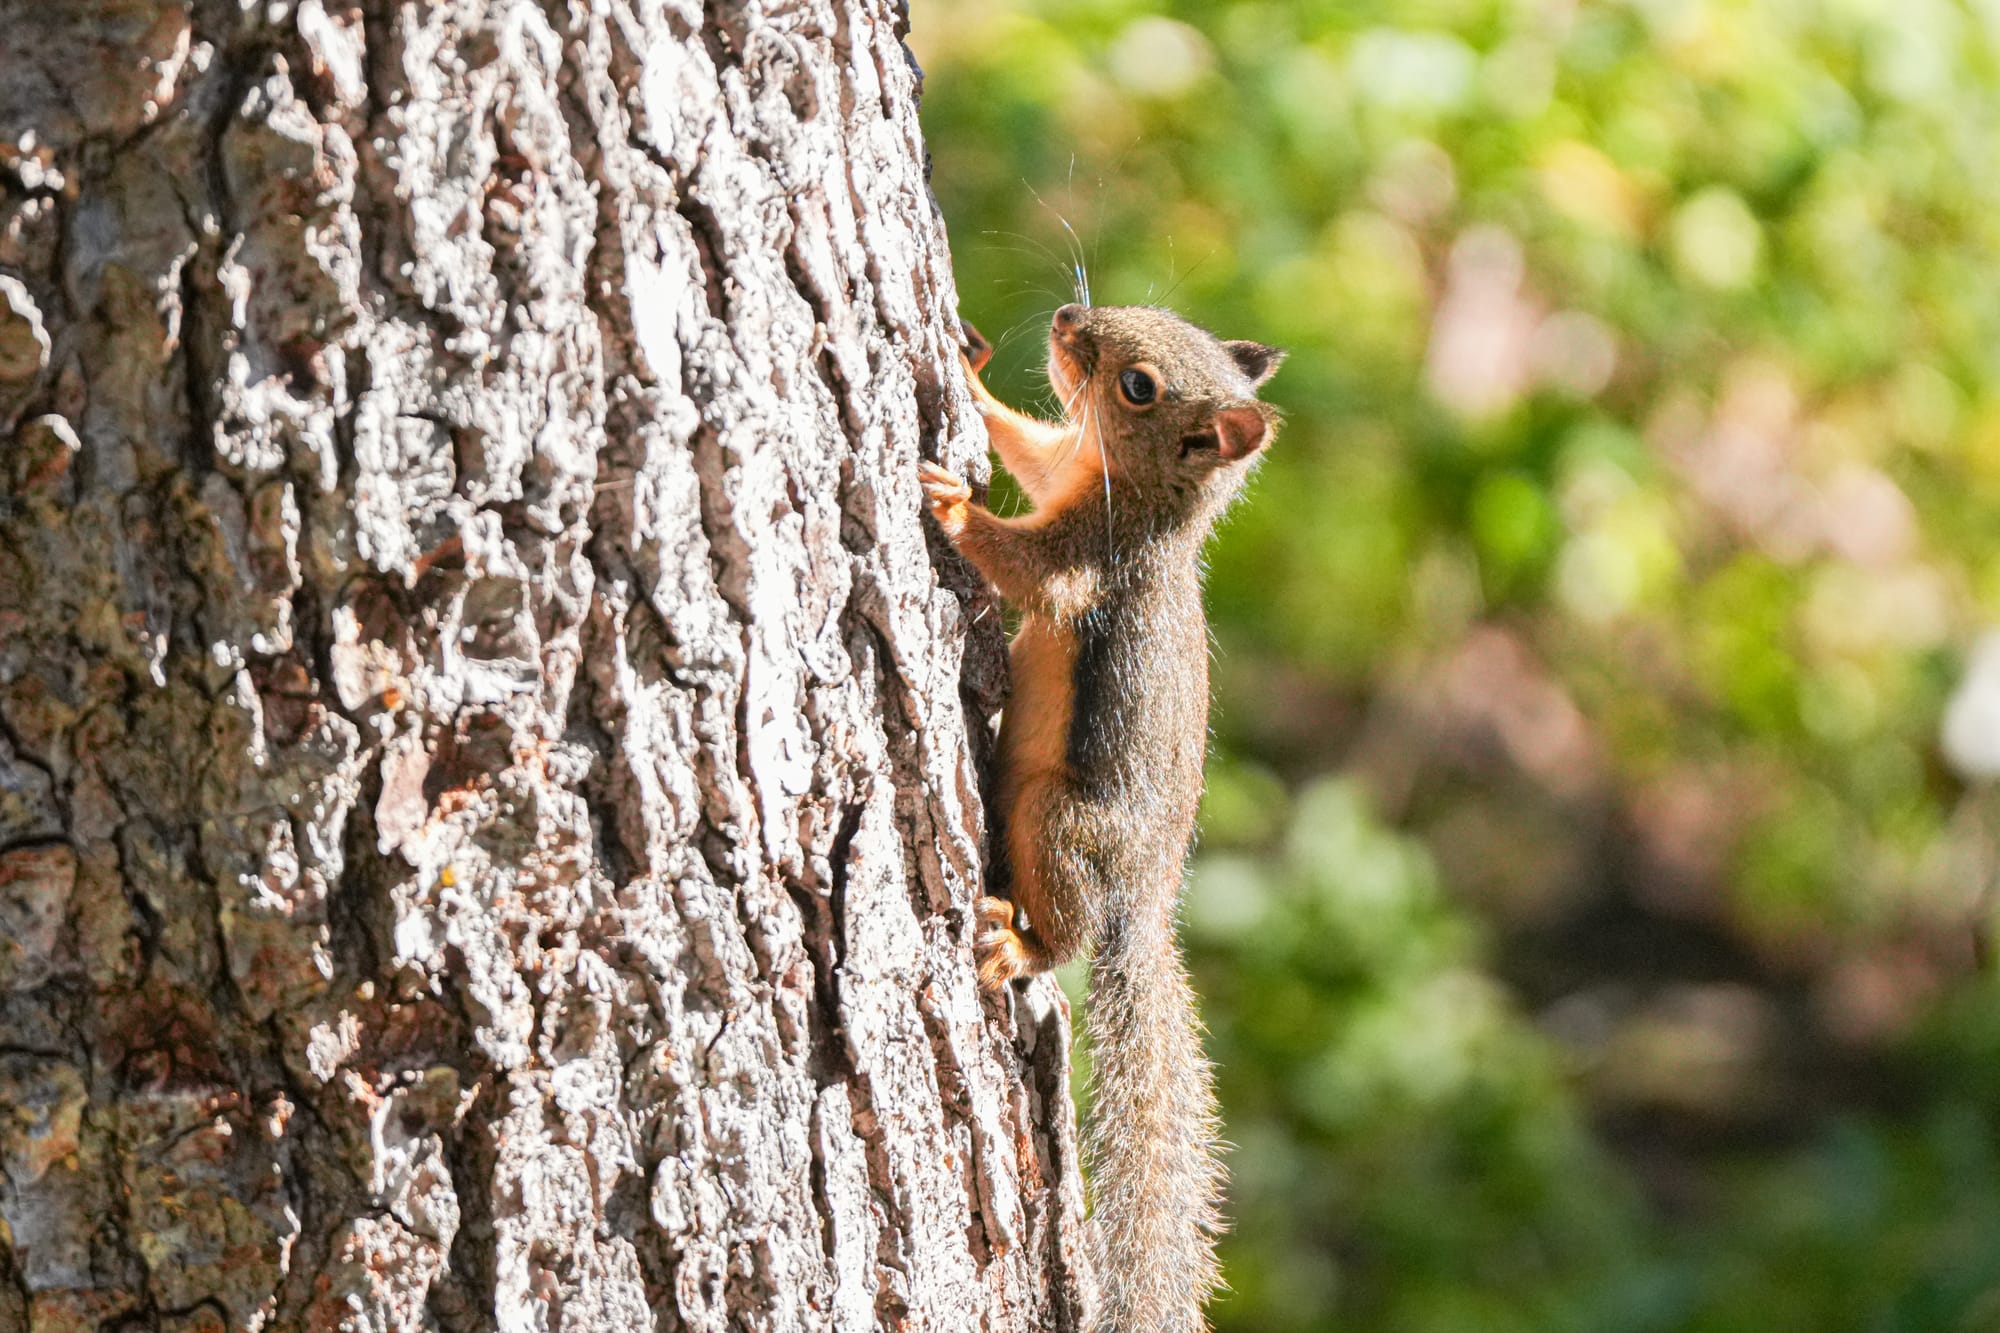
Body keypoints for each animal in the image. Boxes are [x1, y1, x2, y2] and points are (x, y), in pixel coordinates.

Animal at [920, 302, 1283, 1333]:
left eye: (1139, 387)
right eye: (1161, 316)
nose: (1069, 318)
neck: (1147, 497)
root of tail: (1145, 907)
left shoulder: (1091, 556)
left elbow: (1029, 569)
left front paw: (954, 508)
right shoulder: (1063, 471)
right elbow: (1030, 446)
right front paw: (970, 375)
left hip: (1060, 820)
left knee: (1068, 934)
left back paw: (1017, 944)